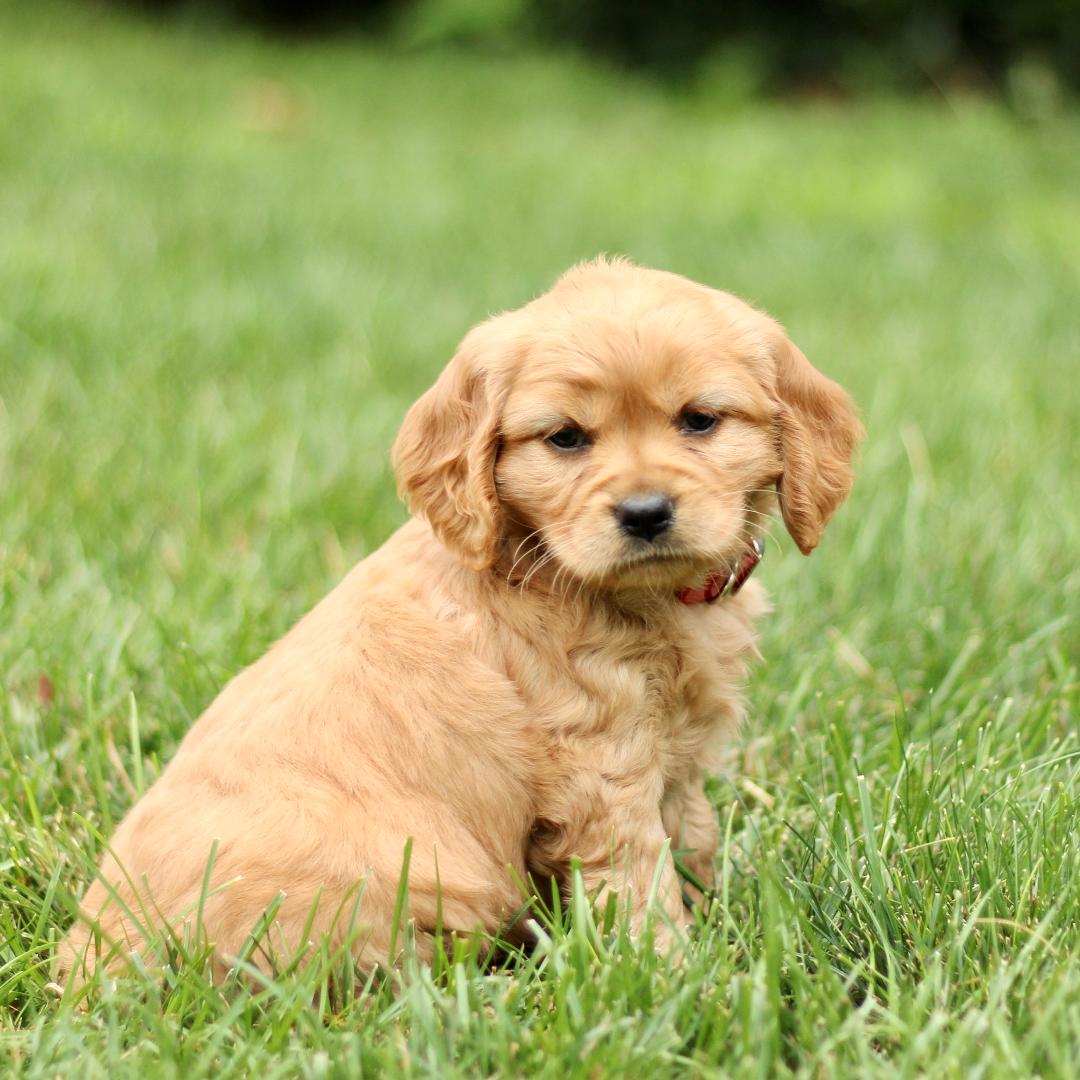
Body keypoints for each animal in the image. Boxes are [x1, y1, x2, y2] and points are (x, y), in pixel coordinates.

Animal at [65, 257, 859, 984]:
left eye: (700, 421)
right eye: (565, 438)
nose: (644, 513)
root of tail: (92, 964)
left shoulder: (676, 757)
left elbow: (693, 837)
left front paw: (720, 920)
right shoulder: (602, 768)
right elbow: (640, 883)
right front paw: (673, 974)